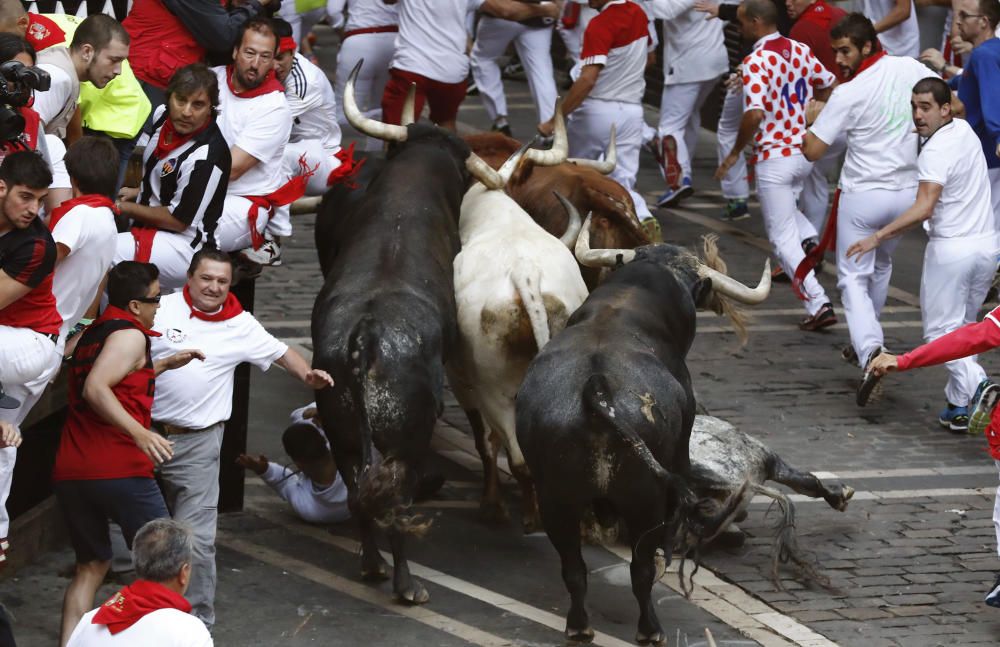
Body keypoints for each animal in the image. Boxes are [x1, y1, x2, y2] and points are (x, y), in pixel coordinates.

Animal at [310, 126, 470, 608]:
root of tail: (366, 336)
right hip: (406, 441)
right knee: (395, 501)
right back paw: (406, 584)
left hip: (341, 427)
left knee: (358, 491)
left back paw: (371, 563)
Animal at [516, 246, 752, 644]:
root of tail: (595, 389)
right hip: (645, 501)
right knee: (640, 571)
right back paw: (651, 629)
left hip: (557, 501)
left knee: (573, 567)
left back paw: (578, 625)